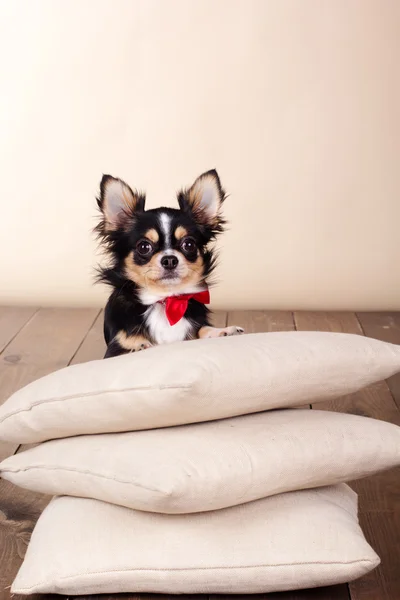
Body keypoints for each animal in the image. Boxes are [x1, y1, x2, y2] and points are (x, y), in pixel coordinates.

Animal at [95, 169, 244, 356]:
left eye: (189, 244)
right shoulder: (115, 349)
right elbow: (132, 345)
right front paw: (139, 345)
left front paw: (223, 331)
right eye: (144, 247)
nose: (170, 259)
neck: (166, 302)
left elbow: (203, 330)